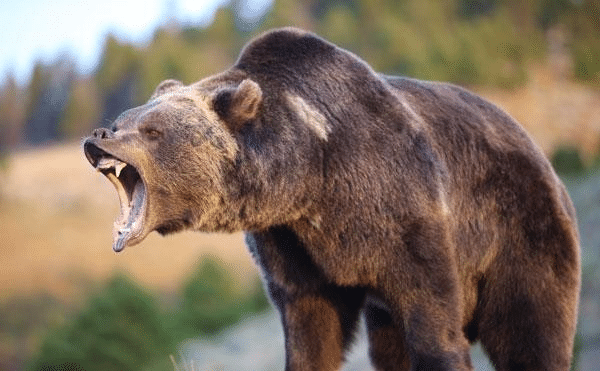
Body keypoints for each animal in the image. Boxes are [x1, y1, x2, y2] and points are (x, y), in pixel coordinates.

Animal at [82, 28, 580, 371]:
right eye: (124, 119)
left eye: (152, 130)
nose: (98, 135)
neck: (310, 179)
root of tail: (536, 148)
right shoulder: (292, 247)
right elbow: (311, 330)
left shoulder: (403, 211)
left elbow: (432, 321)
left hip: (519, 231)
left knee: (532, 330)